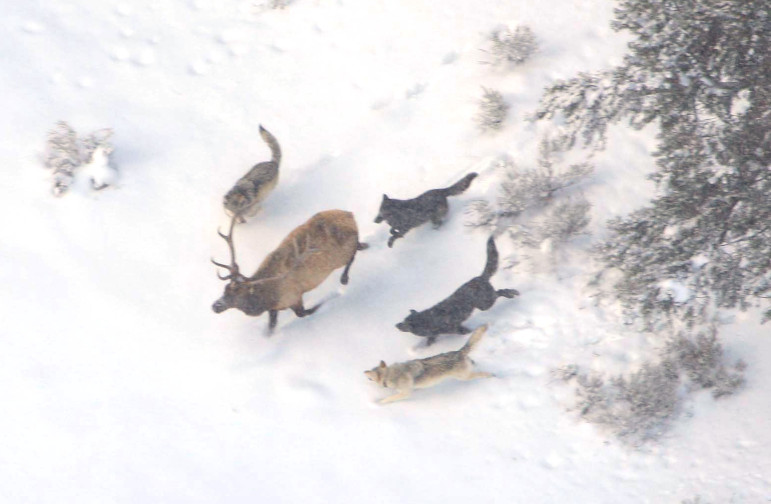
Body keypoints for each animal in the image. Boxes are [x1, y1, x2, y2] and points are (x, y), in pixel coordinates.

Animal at [212, 210, 368, 332]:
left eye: (237, 294)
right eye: (225, 289)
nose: (215, 306)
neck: (267, 297)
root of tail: (350, 214)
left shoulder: (294, 297)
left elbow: (305, 312)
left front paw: (331, 297)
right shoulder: (274, 308)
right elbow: (271, 326)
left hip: (341, 254)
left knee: (352, 255)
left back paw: (344, 278)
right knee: (358, 246)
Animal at [365, 325, 493, 404]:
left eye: (370, 374)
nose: (364, 372)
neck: (390, 374)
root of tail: (459, 352)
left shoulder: (405, 394)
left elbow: (389, 398)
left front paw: (379, 402)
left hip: (464, 377)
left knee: (482, 373)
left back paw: (492, 375)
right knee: (474, 364)